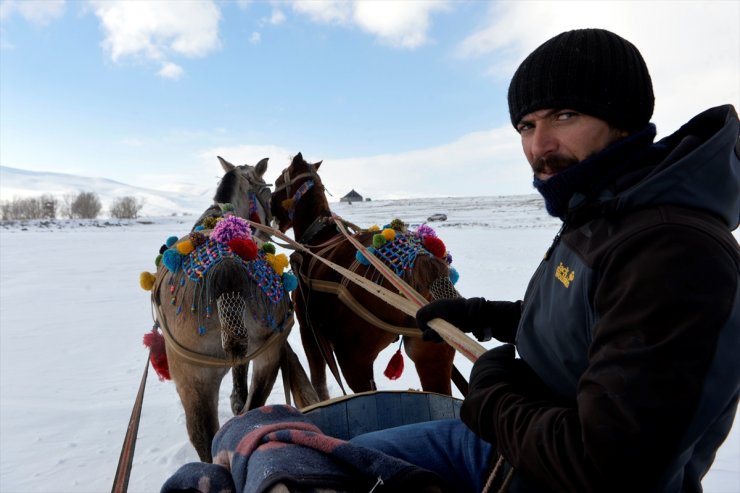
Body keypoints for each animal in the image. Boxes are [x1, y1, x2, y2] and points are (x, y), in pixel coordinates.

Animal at [150, 156, 318, 460]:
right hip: (267, 354)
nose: (273, 221)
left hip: (192, 373)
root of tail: (226, 267)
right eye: (267, 192)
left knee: (205, 437)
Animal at [272, 153, 456, 400]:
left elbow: (319, 383)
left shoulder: (309, 332)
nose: (271, 211)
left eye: (276, 182)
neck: (318, 236)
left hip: (354, 360)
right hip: (432, 355)